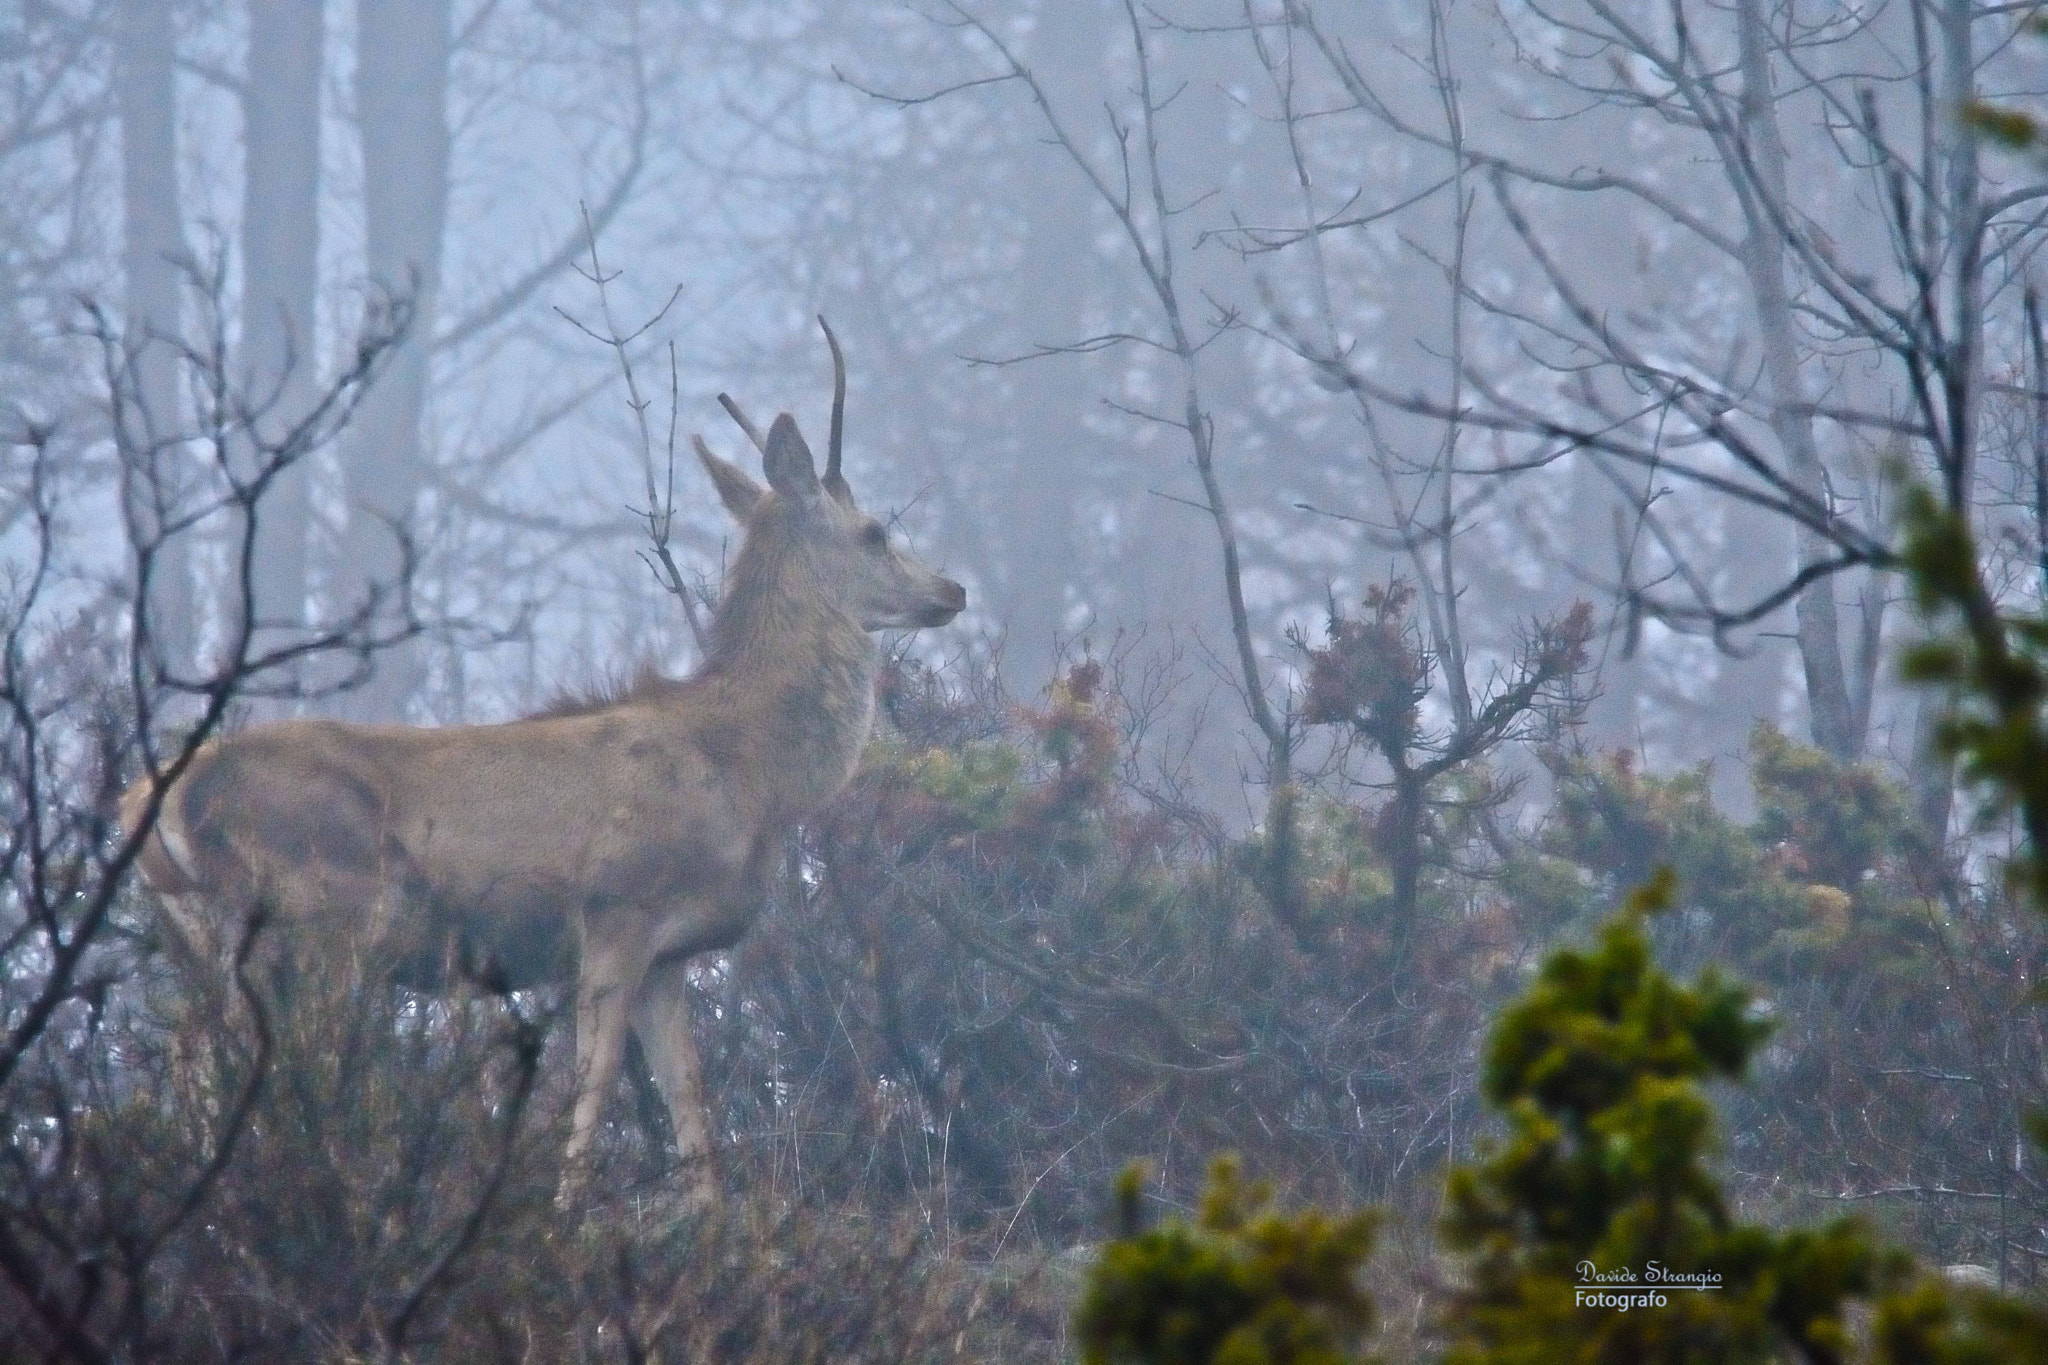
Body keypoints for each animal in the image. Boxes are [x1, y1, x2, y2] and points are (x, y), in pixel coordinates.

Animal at [119, 323, 966, 1203]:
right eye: (874, 531)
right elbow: (593, 1085)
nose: (952, 590)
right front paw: (566, 1211)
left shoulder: (670, 955)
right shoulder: (617, 905)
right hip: (325, 909)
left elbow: (691, 1105)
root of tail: (153, 801)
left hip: (200, 940)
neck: (747, 772)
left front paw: (712, 1223)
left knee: (183, 1059)